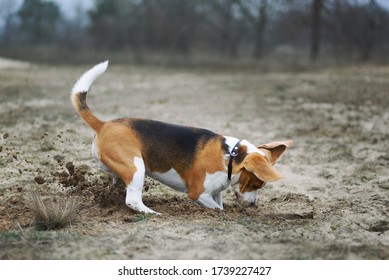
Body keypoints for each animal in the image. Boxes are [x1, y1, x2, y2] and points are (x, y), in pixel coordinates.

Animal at [71, 61, 292, 214]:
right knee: (132, 200)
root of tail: (103, 124)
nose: (253, 205)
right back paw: (152, 213)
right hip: (136, 167)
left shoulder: (216, 191)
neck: (230, 155)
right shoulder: (199, 193)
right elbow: (218, 209)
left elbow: (220, 203)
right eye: (256, 185)